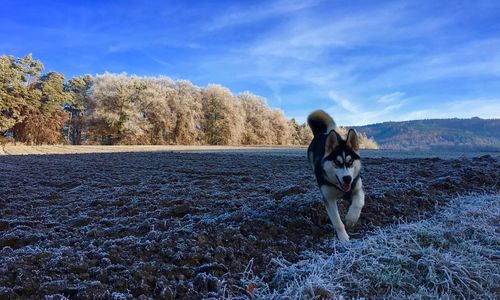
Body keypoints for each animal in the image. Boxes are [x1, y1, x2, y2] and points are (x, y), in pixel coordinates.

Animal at [304, 110, 364, 241]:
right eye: (337, 162)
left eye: (350, 162)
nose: (347, 179)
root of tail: (322, 133)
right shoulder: (329, 199)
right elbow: (337, 222)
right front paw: (344, 239)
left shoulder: (357, 187)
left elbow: (359, 203)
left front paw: (351, 219)